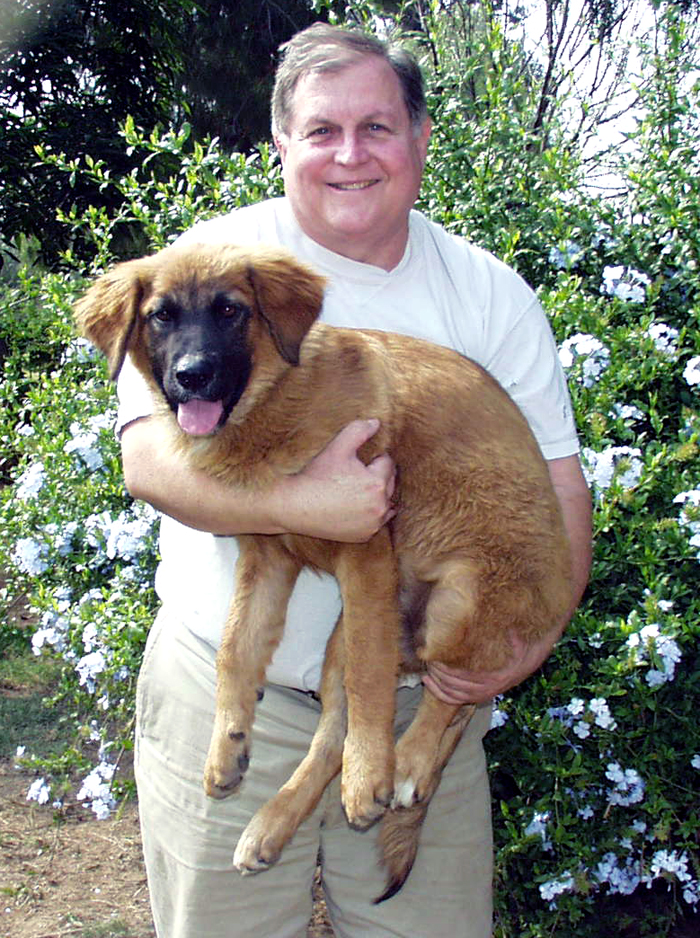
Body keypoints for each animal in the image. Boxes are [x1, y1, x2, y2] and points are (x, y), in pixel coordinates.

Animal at [75, 241, 568, 900]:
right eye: (161, 316)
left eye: (230, 310)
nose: (191, 376)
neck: (278, 396)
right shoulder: (267, 557)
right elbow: (236, 650)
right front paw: (227, 746)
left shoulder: (366, 549)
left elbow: (367, 677)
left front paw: (368, 779)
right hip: (356, 631)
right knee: (340, 722)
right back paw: (272, 824)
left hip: (458, 601)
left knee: (456, 694)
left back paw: (405, 763)